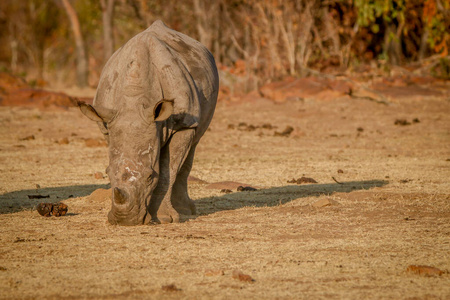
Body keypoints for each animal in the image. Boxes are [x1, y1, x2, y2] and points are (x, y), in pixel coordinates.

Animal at [78, 20, 219, 225]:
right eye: (107, 173)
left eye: (150, 177)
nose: (125, 221)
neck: (134, 100)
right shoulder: (108, 123)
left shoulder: (183, 124)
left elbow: (168, 171)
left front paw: (164, 218)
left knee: (194, 142)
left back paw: (186, 211)